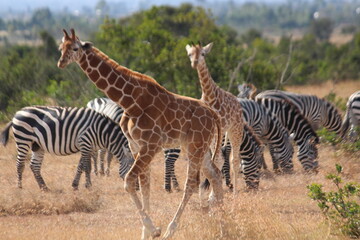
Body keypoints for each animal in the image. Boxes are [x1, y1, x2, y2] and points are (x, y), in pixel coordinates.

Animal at [0, 106, 134, 190]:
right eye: (132, 167)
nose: (136, 188)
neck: (101, 131)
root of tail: (16, 114)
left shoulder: (87, 147)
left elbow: (80, 166)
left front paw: (75, 185)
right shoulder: (85, 142)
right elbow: (87, 167)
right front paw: (89, 186)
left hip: (37, 145)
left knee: (34, 166)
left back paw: (44, 188)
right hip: (23, 139)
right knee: (20, 164)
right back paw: (19, 187)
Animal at [57, 29, 224, 240]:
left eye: (75, 48)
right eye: (60, 48)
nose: (61, 62)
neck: (129, 101)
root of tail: (213, 114)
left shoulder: (150, 146)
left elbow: (129, 182)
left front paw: (154, 230)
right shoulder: (136, 146)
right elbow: (144, 186)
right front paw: (147, 232)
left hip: (196, 145)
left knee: (192, 184)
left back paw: (171, 229)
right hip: (198, 147)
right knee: (215, 175)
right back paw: (223, 224)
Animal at [186, 41, 256, 191]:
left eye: (203, 54)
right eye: (189, 54)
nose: (195, 63)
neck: (210, 96)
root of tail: (237, 102)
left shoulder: (220, 129)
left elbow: (218, 159)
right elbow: (212, 159)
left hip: (235, 130)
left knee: (235, 160)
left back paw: (234, 191)